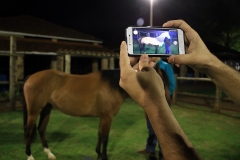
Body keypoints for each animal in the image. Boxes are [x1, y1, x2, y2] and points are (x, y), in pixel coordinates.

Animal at [22, 67, 169, 160]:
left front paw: (98, 154)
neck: (113, 85)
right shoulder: (107, 117)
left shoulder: (102, 117)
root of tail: (30, 77)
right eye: (159, 81)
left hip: (46, 109)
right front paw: (104, 156)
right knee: (28, 131)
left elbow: (99, 134)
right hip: (34, 111)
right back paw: (29, 156)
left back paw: (49, 154)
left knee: (41, 129)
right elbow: (105, 137)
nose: (165, 100)